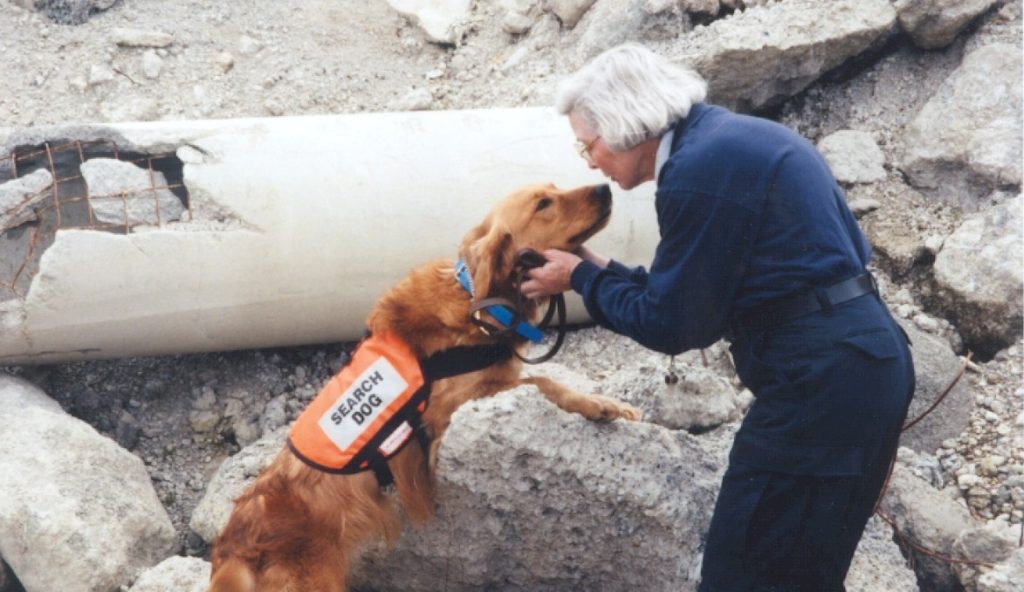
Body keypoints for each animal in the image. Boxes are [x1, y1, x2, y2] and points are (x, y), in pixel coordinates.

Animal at [207, 182, 638, 585]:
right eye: (544, 204)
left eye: (555, 189)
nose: (605, 188)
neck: (479, 306)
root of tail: (233, 549)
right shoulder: (446, 411)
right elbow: (544, 379)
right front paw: (601, 405)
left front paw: (612, 404)